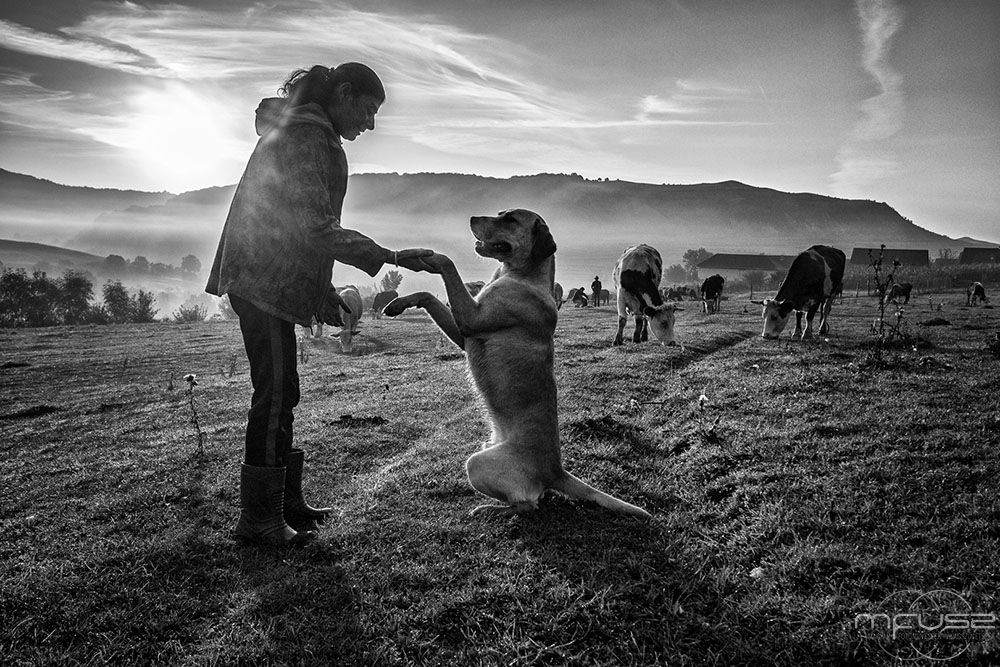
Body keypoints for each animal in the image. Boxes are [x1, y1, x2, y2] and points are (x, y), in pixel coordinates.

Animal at [384, 209, 651, 519]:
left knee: (528, 505)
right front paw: (399, 301)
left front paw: (426, 257)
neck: (520, 276)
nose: (471, 217)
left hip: (477, 464)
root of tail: (555, 471)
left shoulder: (471, 318)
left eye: (510, 219)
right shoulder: (465, 332)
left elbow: (447, 263)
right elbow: (428, 296)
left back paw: (491, 509)